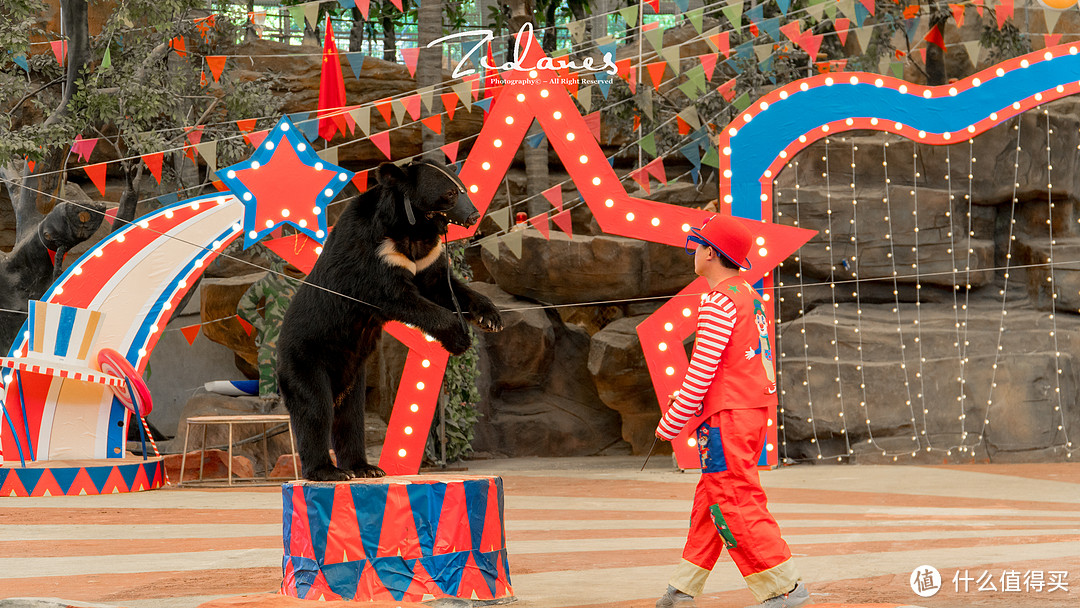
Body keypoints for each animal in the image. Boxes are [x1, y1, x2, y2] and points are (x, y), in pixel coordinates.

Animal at [274, 159, 501, 483]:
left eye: (463, 188)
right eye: (449, 194)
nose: (473, 215)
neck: (412, 227)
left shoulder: (426, 254)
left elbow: (442, 284)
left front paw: (490, 318)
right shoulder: (373, 252)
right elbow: (396, 294)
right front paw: (459, 337)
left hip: (354, 376)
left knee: (350, 416)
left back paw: (365, 467)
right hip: (306, 358)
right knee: (315, 408)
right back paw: (329, 471)